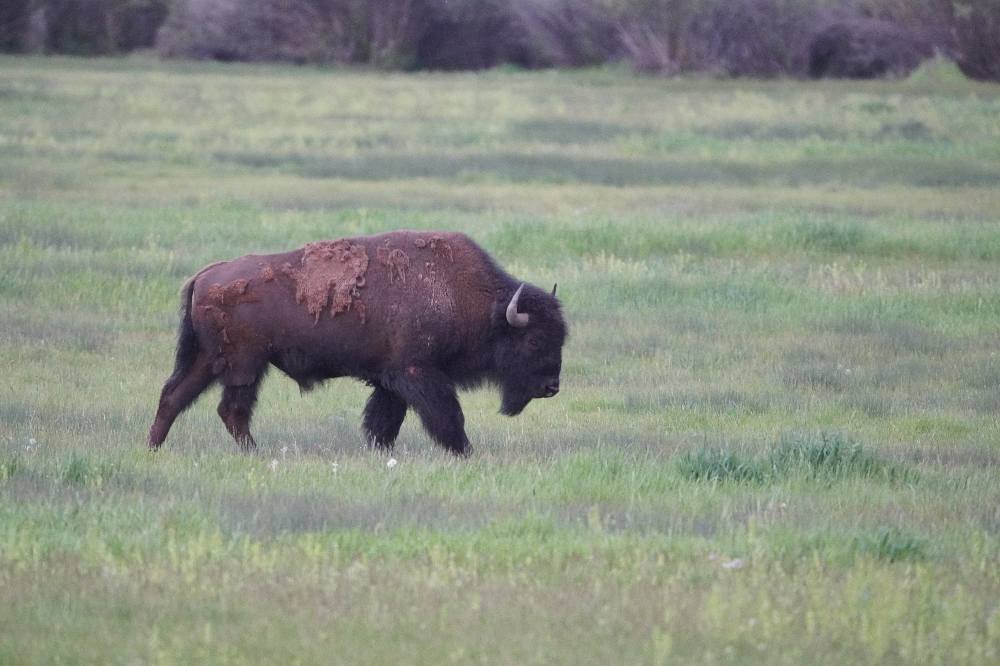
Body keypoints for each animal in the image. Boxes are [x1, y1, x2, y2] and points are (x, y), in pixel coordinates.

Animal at [148, 230, 567, 456]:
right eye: (534, 341)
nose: (551, 387)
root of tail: (206, 274)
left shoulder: (390, 380)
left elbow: (383, 422)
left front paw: (381, 453)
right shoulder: (416, 373)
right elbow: (447, 416)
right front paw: (465, 453)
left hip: (210, 360)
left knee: (175, 396)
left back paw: (153, 447)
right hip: (244, 366)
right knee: (230, 409)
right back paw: (254, 452)